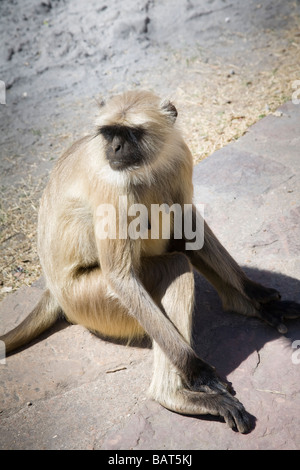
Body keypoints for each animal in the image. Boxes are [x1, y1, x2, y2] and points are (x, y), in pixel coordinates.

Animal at [1, 89, 298, 434]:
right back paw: (174, 396)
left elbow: (187, 221)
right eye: (110, 134)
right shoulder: (113, 185)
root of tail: (53, 290)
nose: (115, 148)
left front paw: (256, 294)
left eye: (130, 134)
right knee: (175, 265)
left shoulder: (179, 156)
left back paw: (246, 304)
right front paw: (197, 371)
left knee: (177, 229)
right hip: (89, 300)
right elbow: (120, 277)